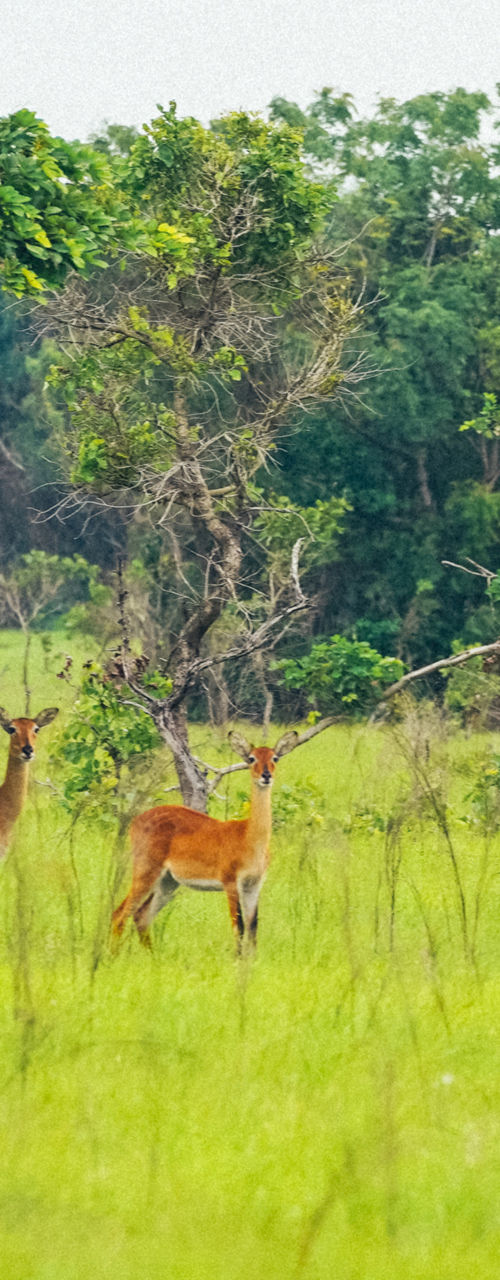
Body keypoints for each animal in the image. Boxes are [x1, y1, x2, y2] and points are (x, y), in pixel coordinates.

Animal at [112, 728, 298, 949]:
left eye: (275, 757)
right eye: (251, 758)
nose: (266, 776)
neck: (250, 837)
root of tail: (135, 820)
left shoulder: (253, 885)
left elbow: (253, 931)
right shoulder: (230, 883)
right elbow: (239, 929)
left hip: (168, 882)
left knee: (141, 916)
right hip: (146, 872)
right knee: (119, 914)